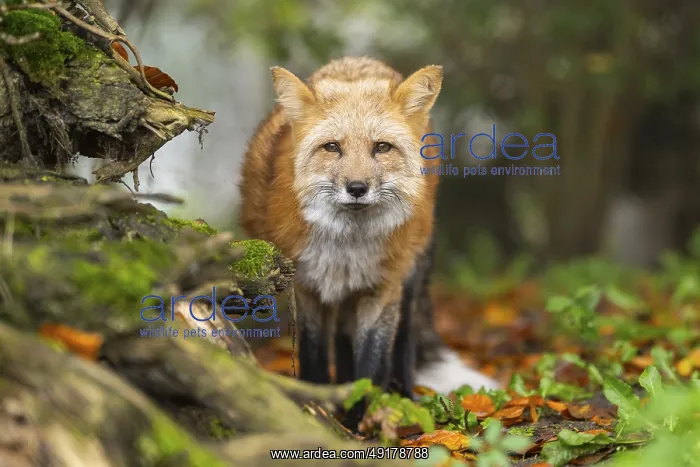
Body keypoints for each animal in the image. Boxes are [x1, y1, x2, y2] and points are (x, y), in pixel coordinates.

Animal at [239, 56, 499, 421]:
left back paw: (402, 393)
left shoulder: (383, 286)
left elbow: (372, 364)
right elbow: (314, 356)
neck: (347, 249)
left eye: (382, 147)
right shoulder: (308, 287)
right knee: (343, 345)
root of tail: (361, 62)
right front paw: (321, 409)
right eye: (332, 147)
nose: (357, 188)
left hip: (408, 277)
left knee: (403, 342)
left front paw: (363, 418)